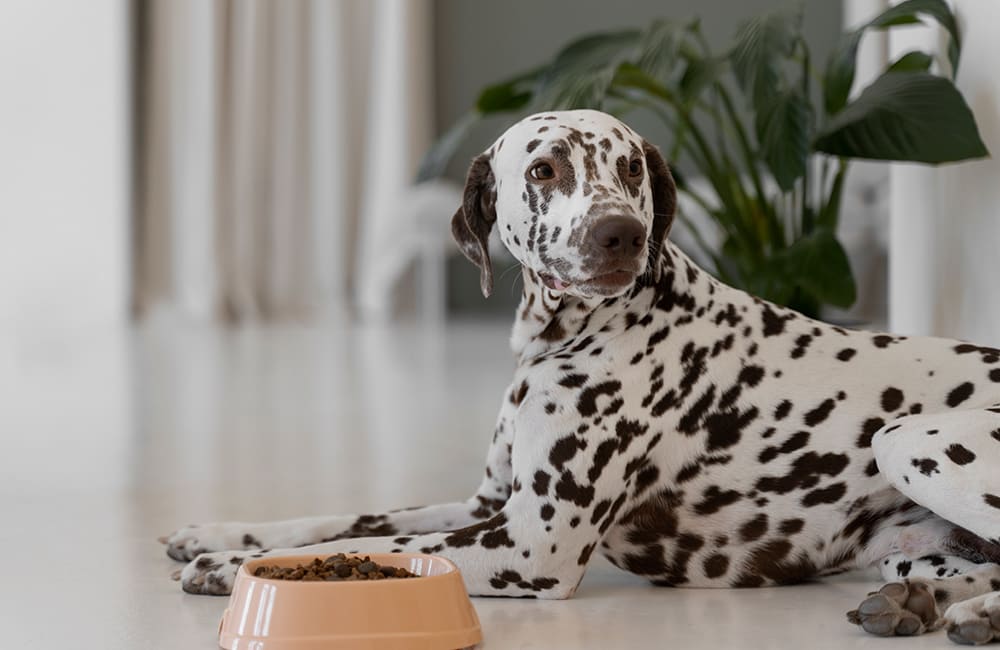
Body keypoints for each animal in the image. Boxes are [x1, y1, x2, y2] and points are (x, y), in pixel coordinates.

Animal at [164, 110, 1000, 644]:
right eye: (544, 168)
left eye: (630, 166)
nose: (619, 233)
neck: (572, 338)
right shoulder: (488, 502)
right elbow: (347, 520)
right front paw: (218, 533)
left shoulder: (532, 541)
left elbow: (386, 548)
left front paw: (236, 565)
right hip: (900, 541)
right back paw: (921, 602)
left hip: (906, 439)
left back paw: (970, 615)